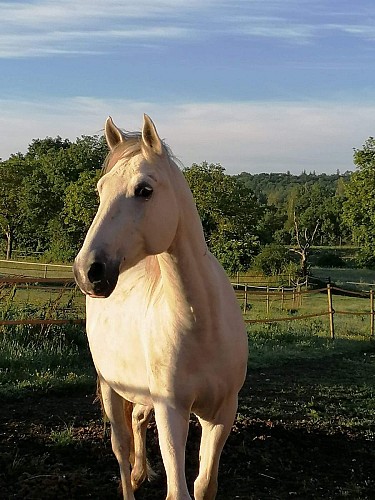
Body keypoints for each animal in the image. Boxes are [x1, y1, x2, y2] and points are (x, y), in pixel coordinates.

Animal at [73, 115, 250, 498]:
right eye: (100, 190)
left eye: (144, 190)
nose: (87, 271)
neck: (202, 323)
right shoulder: (172, 411)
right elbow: (178, 490)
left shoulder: (221, 412)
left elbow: (204, 485)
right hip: (110, 387)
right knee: (121, 447)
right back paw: (132, 479)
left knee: (137, 421)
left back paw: (143, 471)